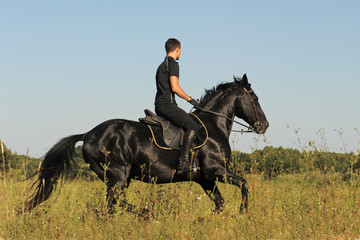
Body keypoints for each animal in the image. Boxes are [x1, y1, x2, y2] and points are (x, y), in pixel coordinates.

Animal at [23, 74, 268, 215]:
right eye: (255, 99)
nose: (264, 125)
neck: (213, 124)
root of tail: (89, 134)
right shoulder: (215, 171)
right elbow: (244, 184)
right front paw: (243, 212)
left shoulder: (204, 178)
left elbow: (220, 203)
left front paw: (204, 220)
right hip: (118, 175)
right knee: (113, 204)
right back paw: (147, 212)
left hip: (118, 178)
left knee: (112, 205)